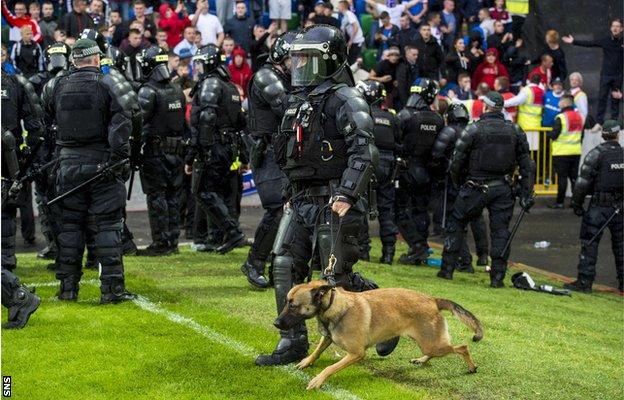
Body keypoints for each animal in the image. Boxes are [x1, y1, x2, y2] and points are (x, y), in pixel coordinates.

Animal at [276, 280, 486, 390]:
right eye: (286, 302)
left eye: (293, 306)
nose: (276, 323)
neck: (335, 306)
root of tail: (433, 300)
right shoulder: (327, 337)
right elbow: (317, 351)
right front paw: (306, 362)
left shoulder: (356, 353)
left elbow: (330, 368)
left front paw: (318, 380)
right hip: (427, 342)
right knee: (436, 351)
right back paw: (421, 360)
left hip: (432, 343)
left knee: (462, 347)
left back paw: (471, 367)